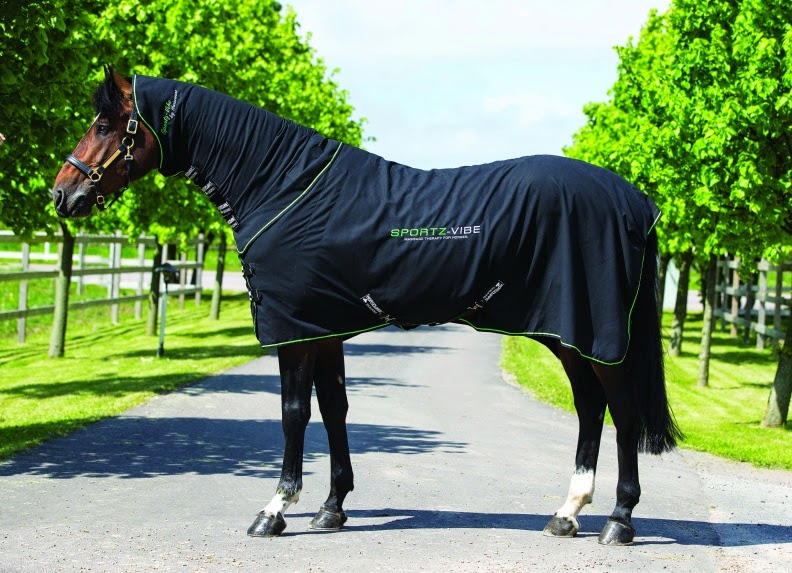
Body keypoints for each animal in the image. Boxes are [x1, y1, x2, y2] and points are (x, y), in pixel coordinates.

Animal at [52, 67, 681, 546]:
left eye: (104, 125)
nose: (63, 194)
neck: (282, 186)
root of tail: (634, 200)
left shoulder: (293, 332)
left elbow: (294, 414)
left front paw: (274, 510)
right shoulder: (322, 329)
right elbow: (335, 410)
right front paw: (332, 507)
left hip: (594, 337)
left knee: (622, 413)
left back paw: (619, 522)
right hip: (567, 336)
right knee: (590, 409)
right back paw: (567, 513)